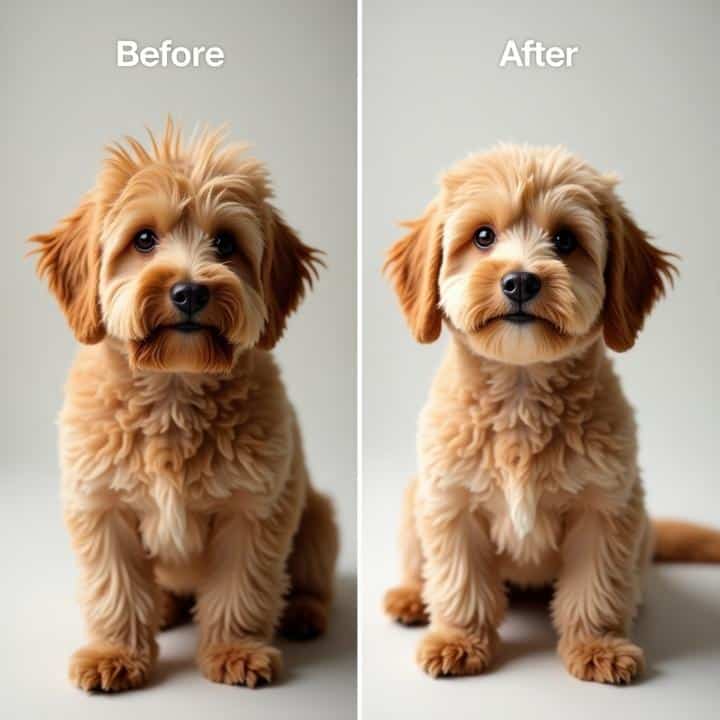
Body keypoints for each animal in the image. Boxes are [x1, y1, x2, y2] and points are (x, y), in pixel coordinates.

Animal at [31, 119, 340, 692]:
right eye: (144, 239)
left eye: (225, 243)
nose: (190, 292)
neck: (173, 388)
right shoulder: (100, 506)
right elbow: (114, 589)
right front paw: (114, 653)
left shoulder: (254, 507)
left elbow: (242, 587)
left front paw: (236, 650)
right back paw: (164, 609)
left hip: (318, 519)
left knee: (309, 581)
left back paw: (304, 613)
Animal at [382, 143, 720, 684]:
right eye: (483, 236)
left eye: (564, 240)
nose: (520, 280)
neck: (522, 395)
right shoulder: (451, 503)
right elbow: (459, 582)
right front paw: (459, 639)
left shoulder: (605, 506)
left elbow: (594, 588)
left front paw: (598, 645)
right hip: (416, 498)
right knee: (421, 567)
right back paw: (411, 596)